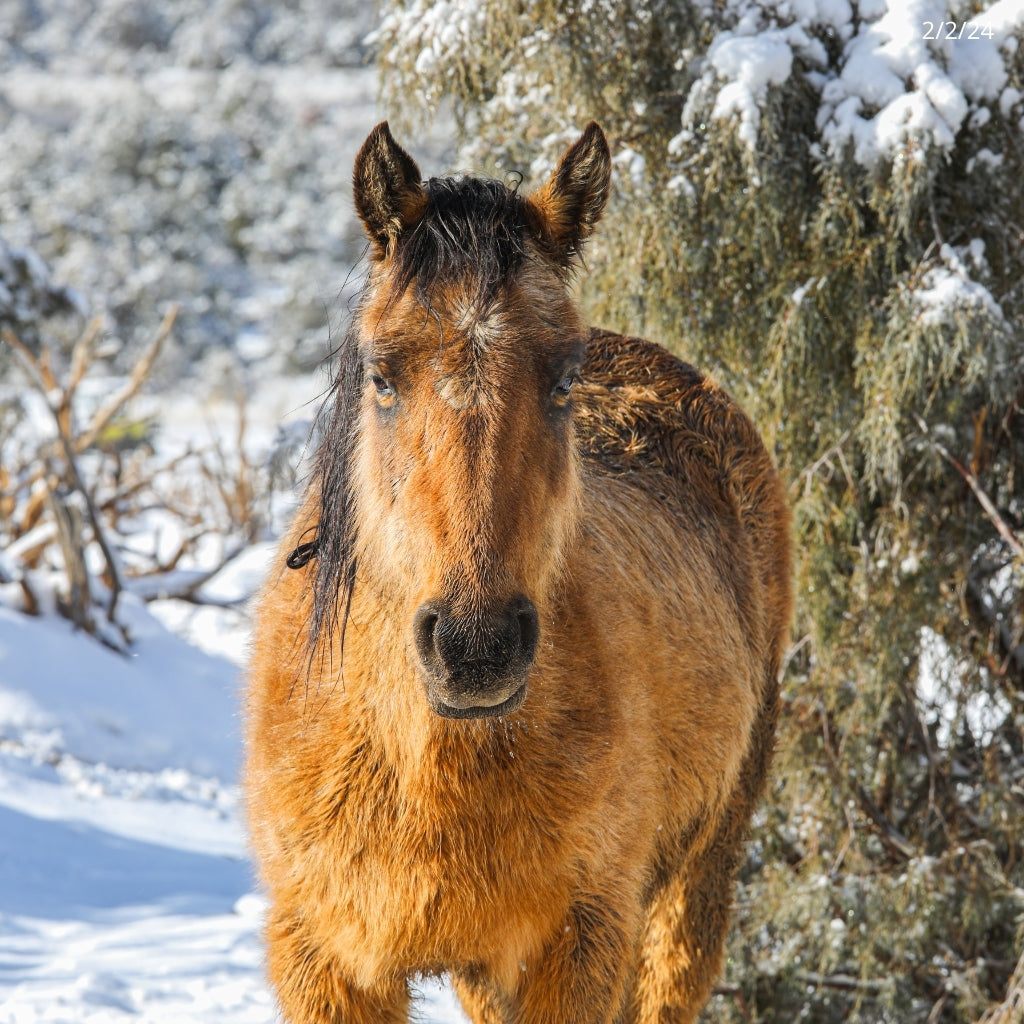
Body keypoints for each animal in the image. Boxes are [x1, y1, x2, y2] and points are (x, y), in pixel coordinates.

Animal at [245, 121, 790, 1024]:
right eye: (382, 376)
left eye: (564, 378)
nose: (476, 646)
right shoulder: (324, 959)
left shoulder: (577, 947)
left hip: (695, 880)